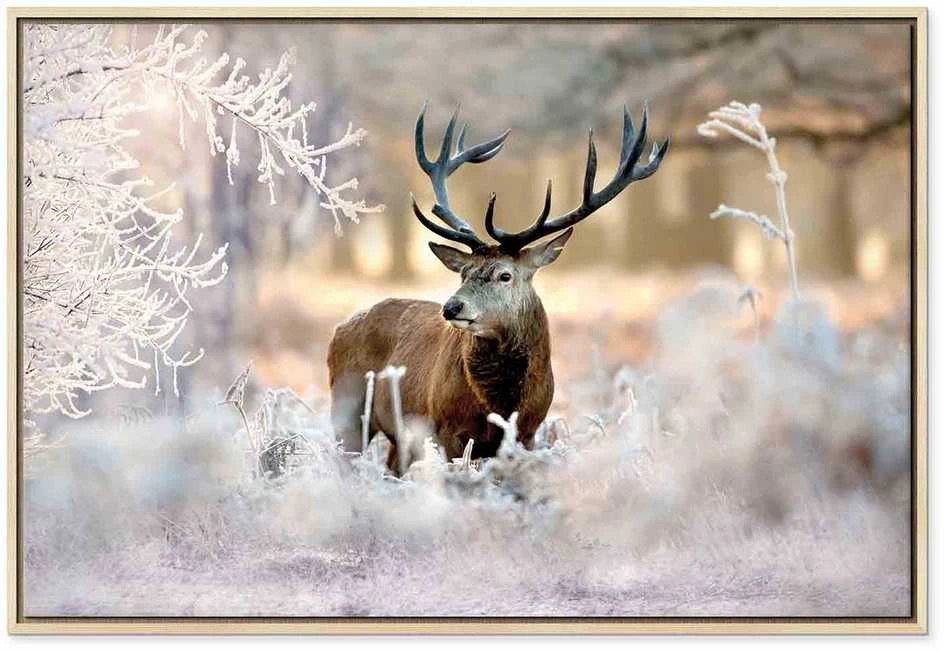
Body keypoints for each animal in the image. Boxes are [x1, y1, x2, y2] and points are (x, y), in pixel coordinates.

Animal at [328, 103, 668, 475]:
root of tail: (339, 328)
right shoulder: (446, 429)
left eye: (505, 275)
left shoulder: (528, 433)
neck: (501, 404)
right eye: (463, 273)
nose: (452, 307)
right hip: (347, 409)